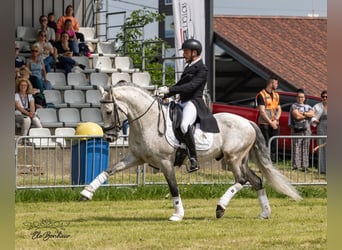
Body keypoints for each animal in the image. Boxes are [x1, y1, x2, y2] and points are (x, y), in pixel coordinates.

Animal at [79, 83, 300, 222]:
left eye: (109, 111)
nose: (109, 138)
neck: (147, 121)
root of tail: (248, 122)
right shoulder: (136, 157)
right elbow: (109, 170)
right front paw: (86, 192)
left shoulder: (165, 163)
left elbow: (173, 188)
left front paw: (177, 215)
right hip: (241, 160)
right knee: (256, 181)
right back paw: (264, 213)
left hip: (233, 158)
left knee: (242, 180)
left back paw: (220, 207)